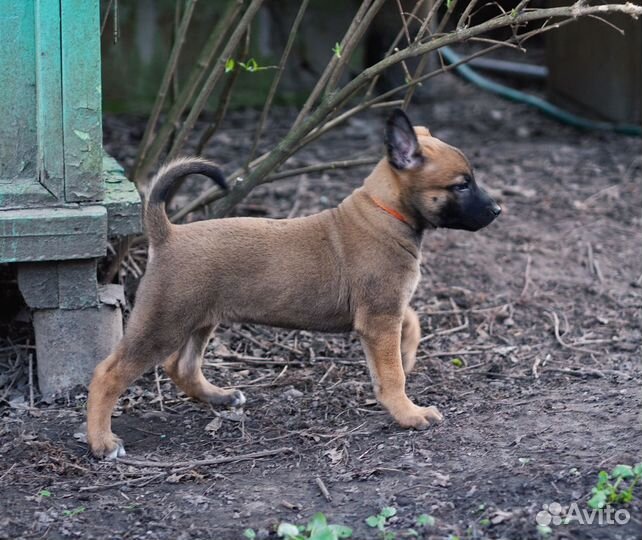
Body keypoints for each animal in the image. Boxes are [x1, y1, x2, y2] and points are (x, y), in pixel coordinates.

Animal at [89, 110, 500, 460]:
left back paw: (219, 397)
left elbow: (412, 324)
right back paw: (102, 442)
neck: (386, 212)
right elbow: (391, 375)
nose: (497, 211)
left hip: (200, 319)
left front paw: (408, 355)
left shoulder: (386, 311)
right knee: (108, 374)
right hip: (163, 323)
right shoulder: (379, 318)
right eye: (462, 185)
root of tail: (168, 234)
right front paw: (409, 413)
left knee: (182, 366)